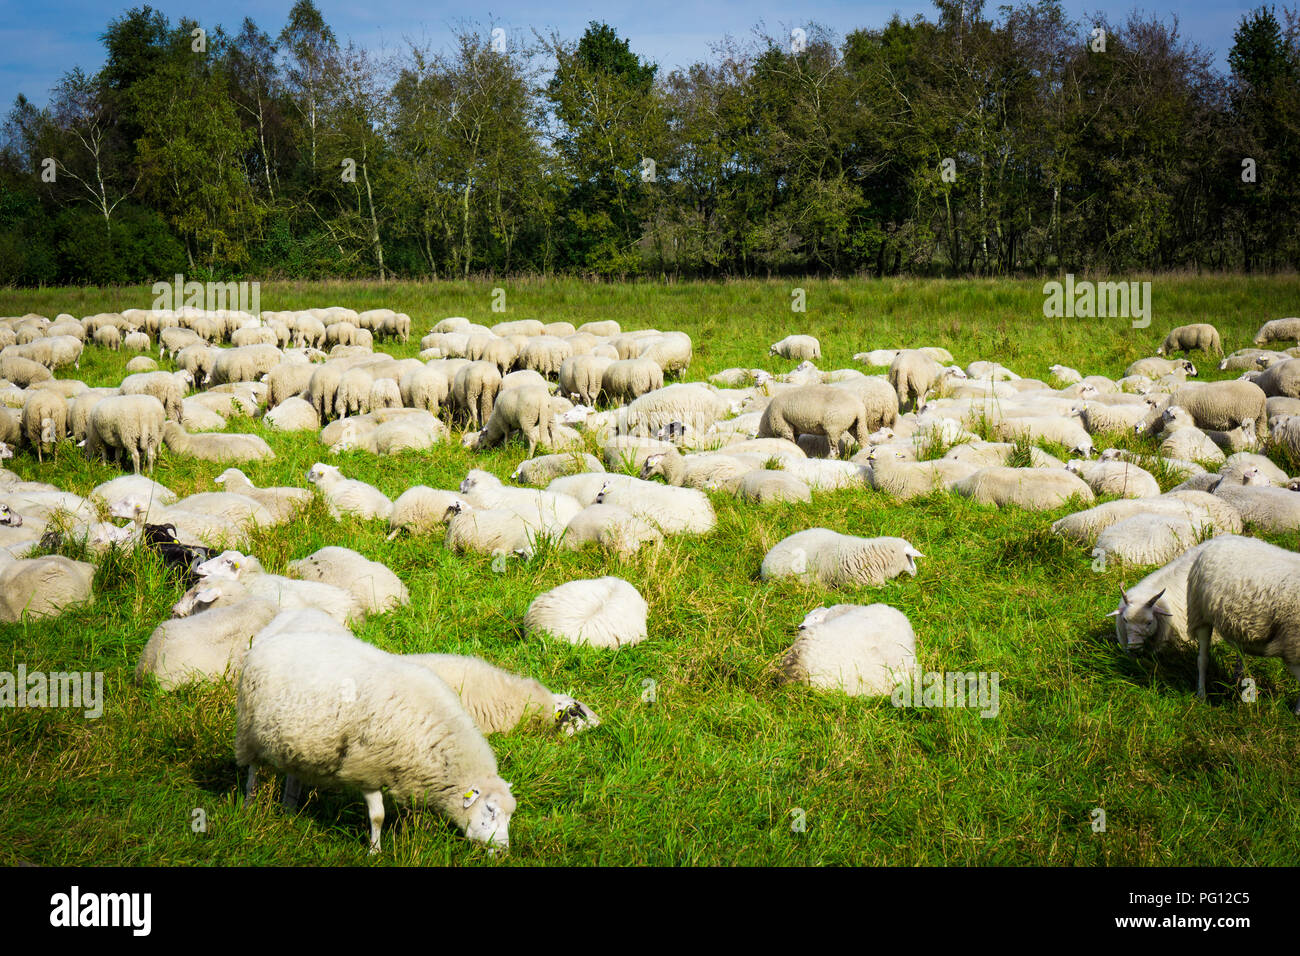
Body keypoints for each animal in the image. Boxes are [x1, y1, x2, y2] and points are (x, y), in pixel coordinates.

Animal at [237, 627, 515, 853]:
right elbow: (378, 816)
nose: (502, 851)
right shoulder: (366, 767)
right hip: (249, 730)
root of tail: (265, 643)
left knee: (293, 774)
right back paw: (249, 807)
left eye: (510, 816)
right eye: (490, 810)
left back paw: (289, 811)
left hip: (296, 744)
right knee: (253, 771)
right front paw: (375, 851)